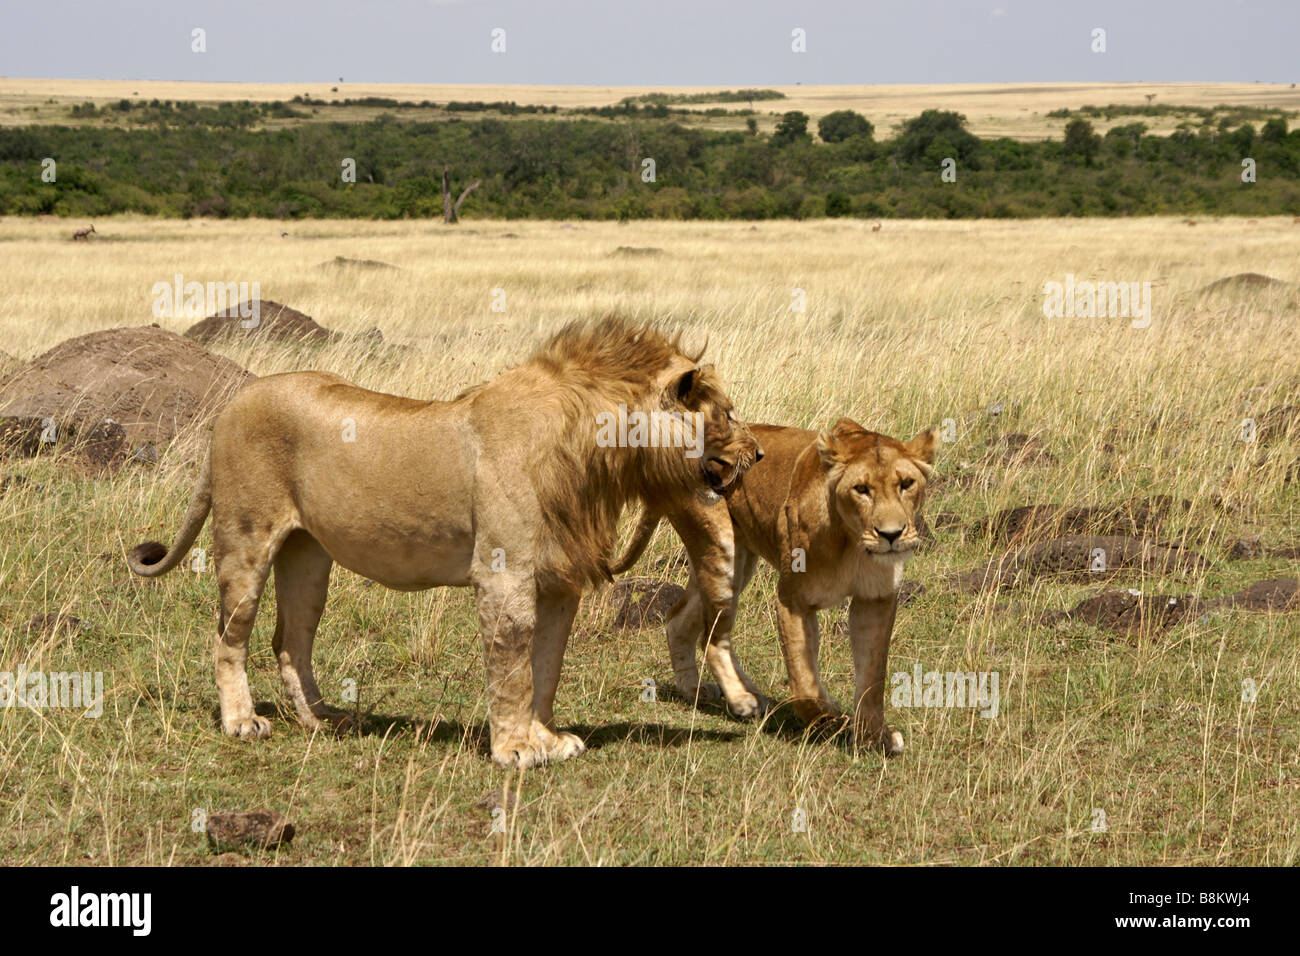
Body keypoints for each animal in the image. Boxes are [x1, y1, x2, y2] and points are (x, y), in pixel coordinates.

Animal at [128, 318, 761, 768]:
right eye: (728, 413)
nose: (757, 455)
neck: (597, 453)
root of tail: (232, 404)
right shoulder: (503, 572)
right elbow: (513, 665)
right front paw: (515, 750)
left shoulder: (558, 582)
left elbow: (547, 665)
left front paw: (547, 738)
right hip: (246, 539)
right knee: (228, 636)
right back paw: (242, 722)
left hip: (308, 555)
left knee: (292, 638)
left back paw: (320, 720)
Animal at [612, 418, 937, 754]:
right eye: (861, 489)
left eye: (906, 484)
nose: (891, 534)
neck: (853, 541)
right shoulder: (793, 599)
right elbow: (803, 680)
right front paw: (829, 716)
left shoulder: (876, 599)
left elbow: (873, 676)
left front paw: (873, 738)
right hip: (721, 551)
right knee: (712, 639)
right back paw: (743, 700)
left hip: (735, 562)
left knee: (678, 619)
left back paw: (699, 690)